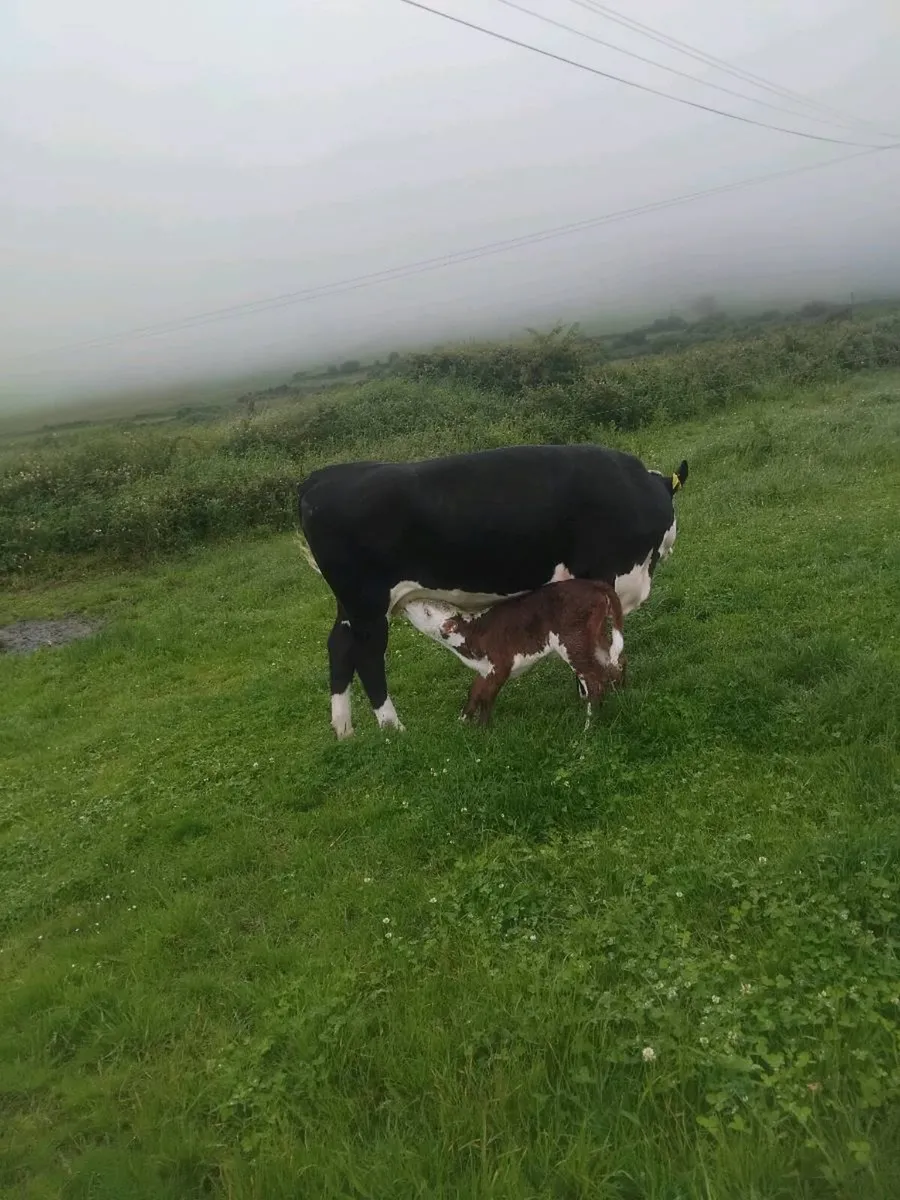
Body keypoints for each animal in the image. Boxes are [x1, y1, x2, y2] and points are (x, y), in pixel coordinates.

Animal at [402, 578, 626, 730]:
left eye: (427, 611)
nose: (406, 604)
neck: (473, 633)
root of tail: (593, 584)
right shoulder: (484, 668)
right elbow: (474, 692)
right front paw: (462, 721)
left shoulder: (501, 663)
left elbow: (487, 696)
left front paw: (482, 729)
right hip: (594, 638)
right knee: (615, 662)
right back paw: (622, 696)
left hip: (573, 641)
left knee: (594, 680)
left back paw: (589, 727)